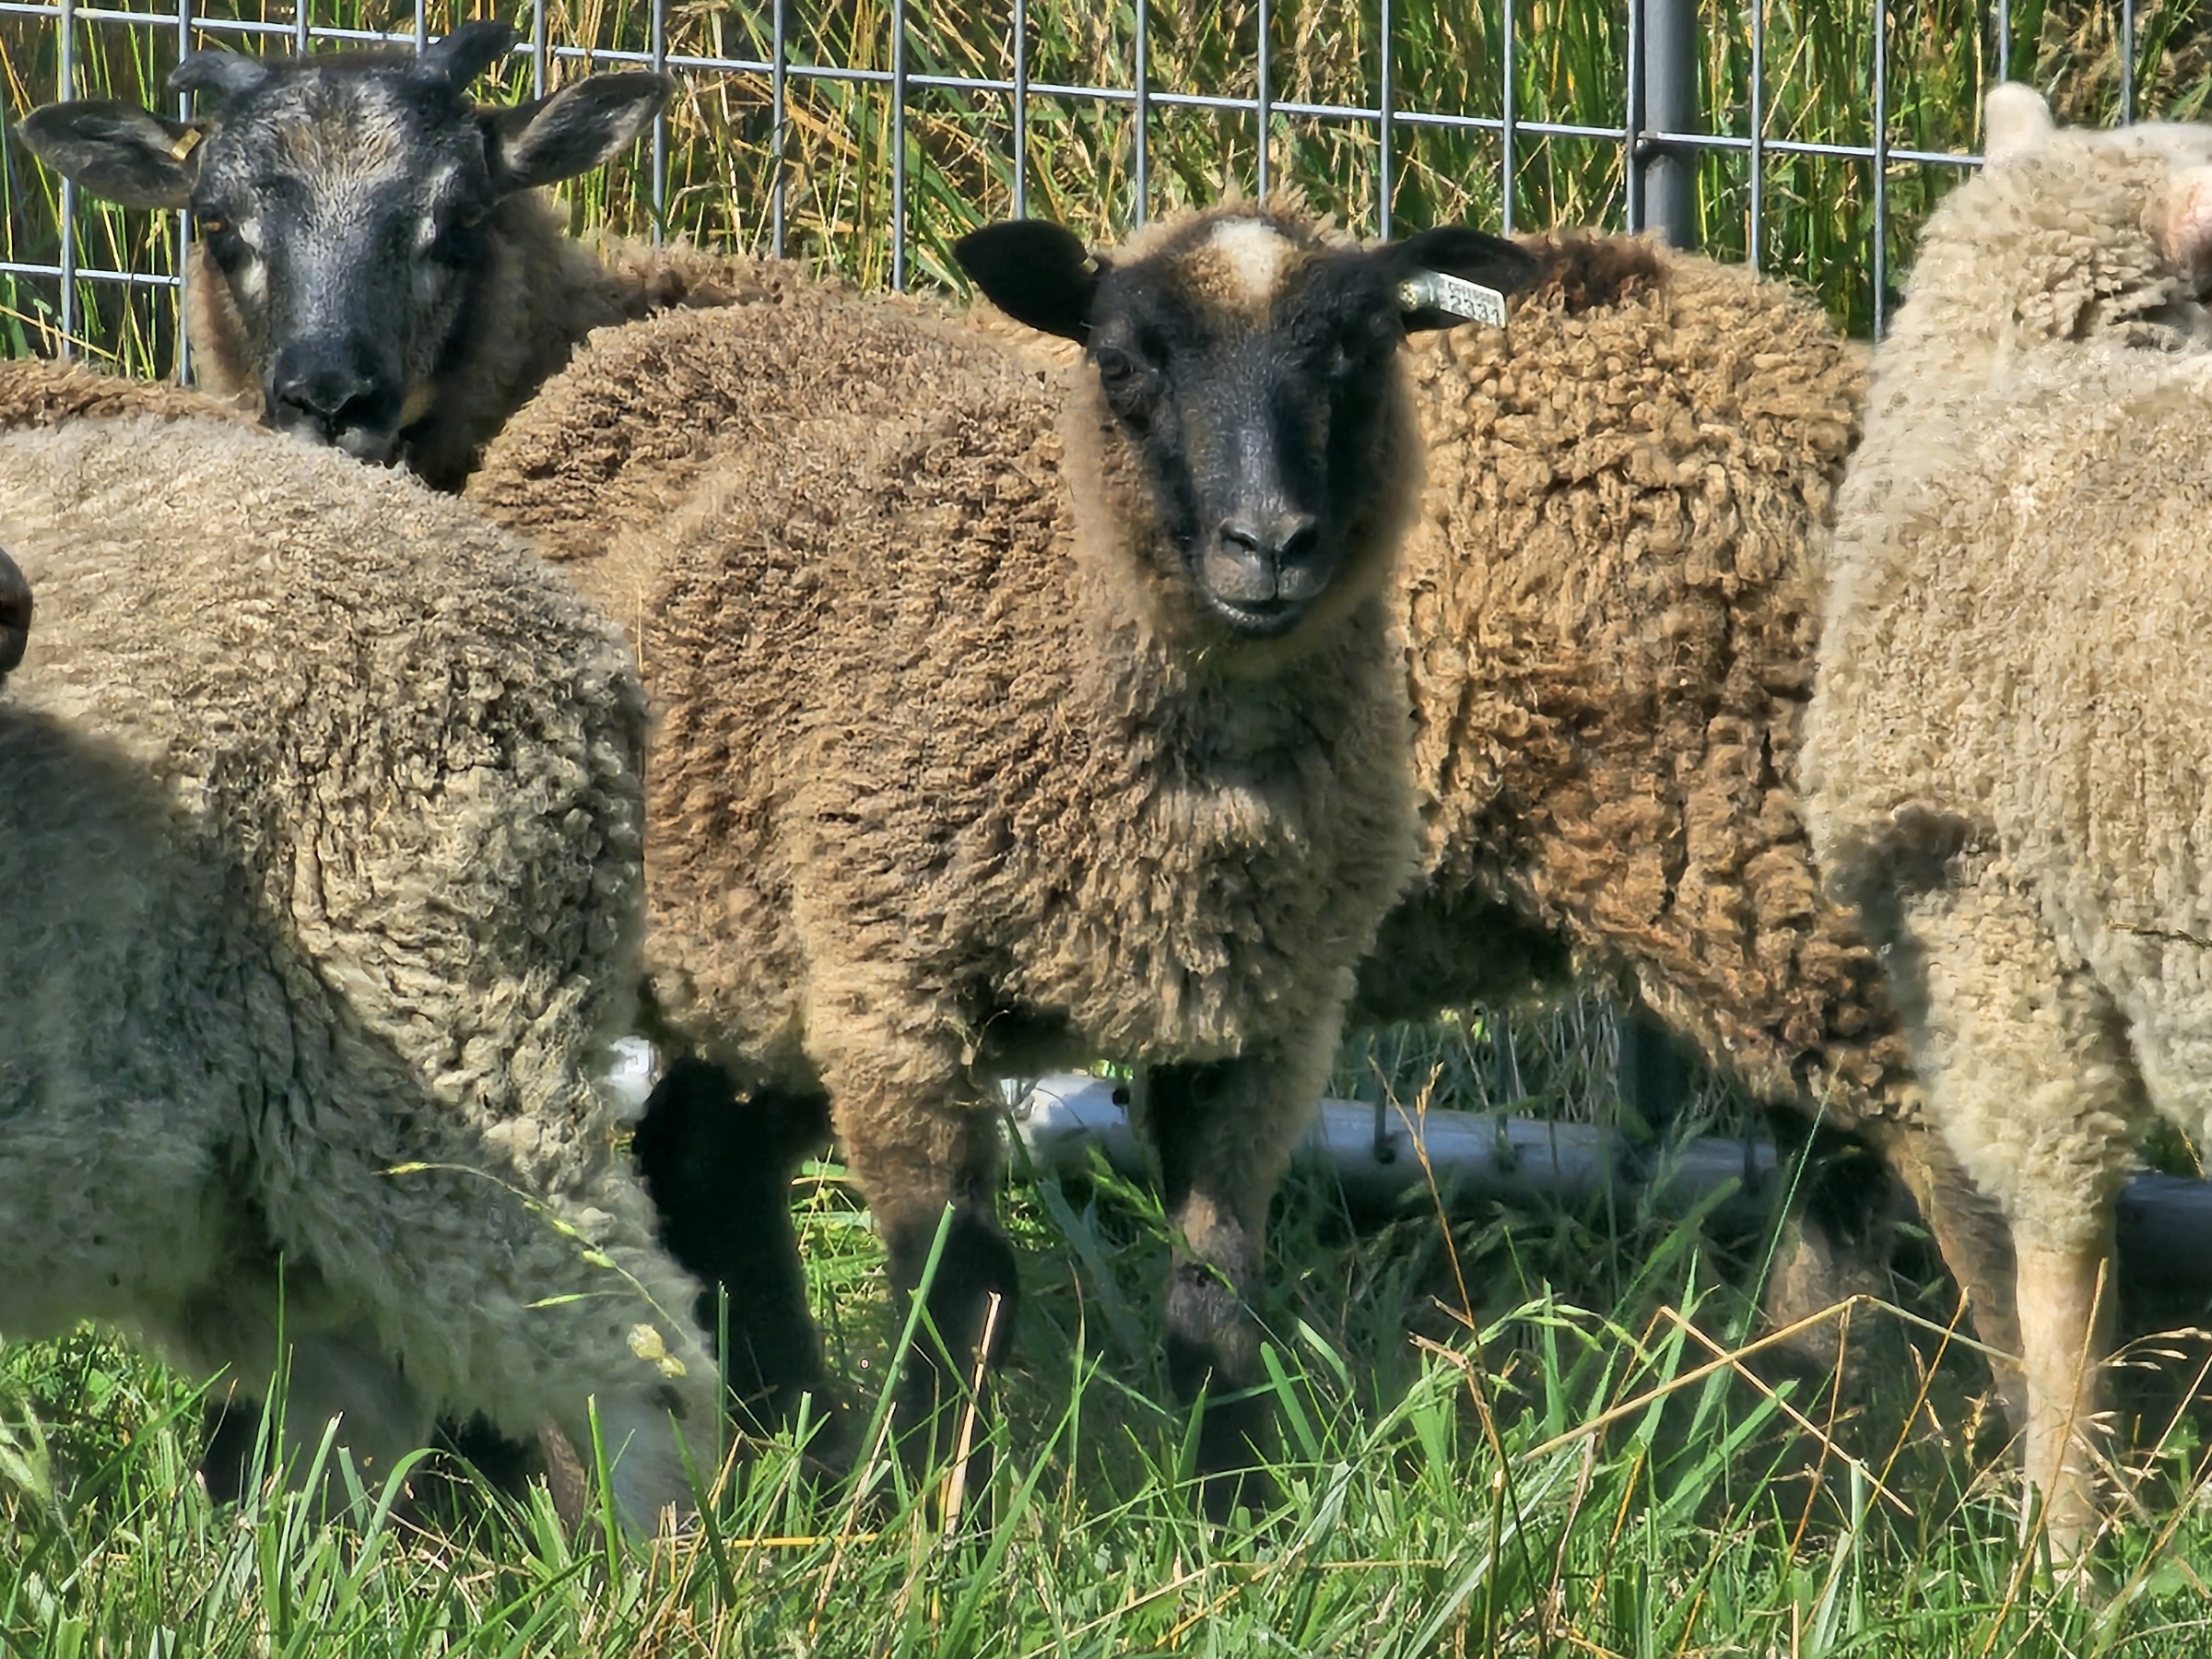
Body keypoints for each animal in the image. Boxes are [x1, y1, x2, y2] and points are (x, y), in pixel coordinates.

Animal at [0, 357, 716, 1530]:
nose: (12, 607)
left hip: (438, 1034)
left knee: (635, 1352)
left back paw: (655, 1559)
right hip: (227, 1167)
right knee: (355, 1394)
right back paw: (275, 1557)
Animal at [465, 202, 1539, 1501]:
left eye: (1367, 349)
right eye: (1121, 363)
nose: (1269, 546)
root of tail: (629, 344)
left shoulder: (1263, 1022)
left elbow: (1218, 1292)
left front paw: (1230, 1503)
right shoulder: (901, 1001)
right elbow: (965, 1292)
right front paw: (944, 1513)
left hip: (769, 971)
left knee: (699, 1155)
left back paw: (802, 1453)